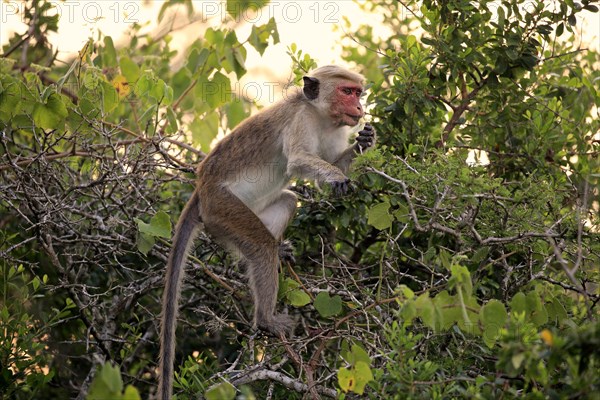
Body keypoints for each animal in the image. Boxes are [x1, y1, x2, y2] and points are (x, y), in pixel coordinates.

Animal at [159, 64, 376, 398]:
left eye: (357, 93)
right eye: (347, 92)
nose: (359, 108)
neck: (320, 115)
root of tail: (201, 189)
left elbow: (329, 169)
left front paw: (365, 141)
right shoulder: (301, 121)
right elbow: (300, 161)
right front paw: (338, 176)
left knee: (286, 201)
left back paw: (266, 254)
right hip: (223, 208)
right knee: (260, 245)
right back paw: (266, 320)